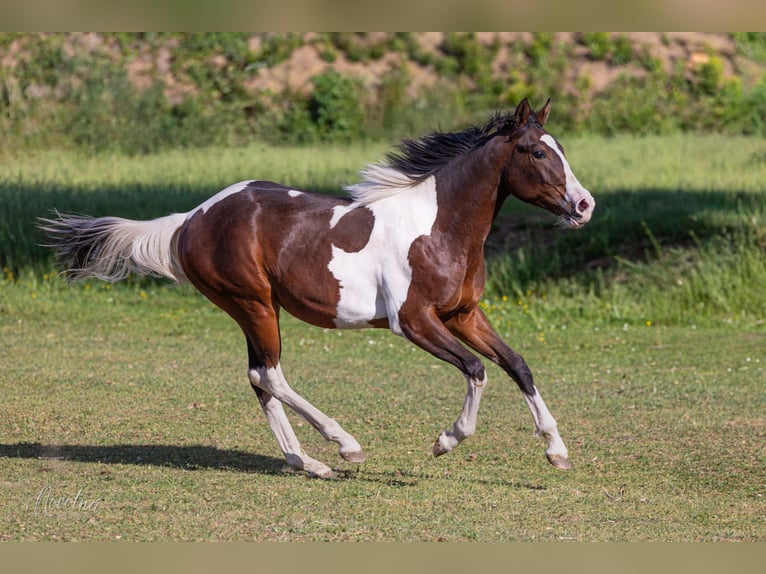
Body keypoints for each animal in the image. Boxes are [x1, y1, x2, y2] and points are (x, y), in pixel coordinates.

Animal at [40, 98, 595, 479]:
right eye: (536, 151)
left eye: (564, 150)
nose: (585, 205)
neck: (439, 227)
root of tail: (191, 218)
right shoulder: (413, 321)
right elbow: (477, 370)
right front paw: (446, 440)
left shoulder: (464, 315)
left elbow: (517, 364)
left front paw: (557, 451)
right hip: (254, 304)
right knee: (270, 374)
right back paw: (343, 445)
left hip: (254, 309)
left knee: (258, 378)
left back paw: (309, 462)